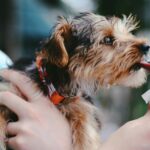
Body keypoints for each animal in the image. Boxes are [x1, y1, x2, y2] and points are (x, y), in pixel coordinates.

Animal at [0, 12, 149, 149]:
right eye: (107, 39)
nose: (146, 46)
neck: (53, 86)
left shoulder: (83, 109)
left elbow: (86, 136)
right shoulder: (8, 89)